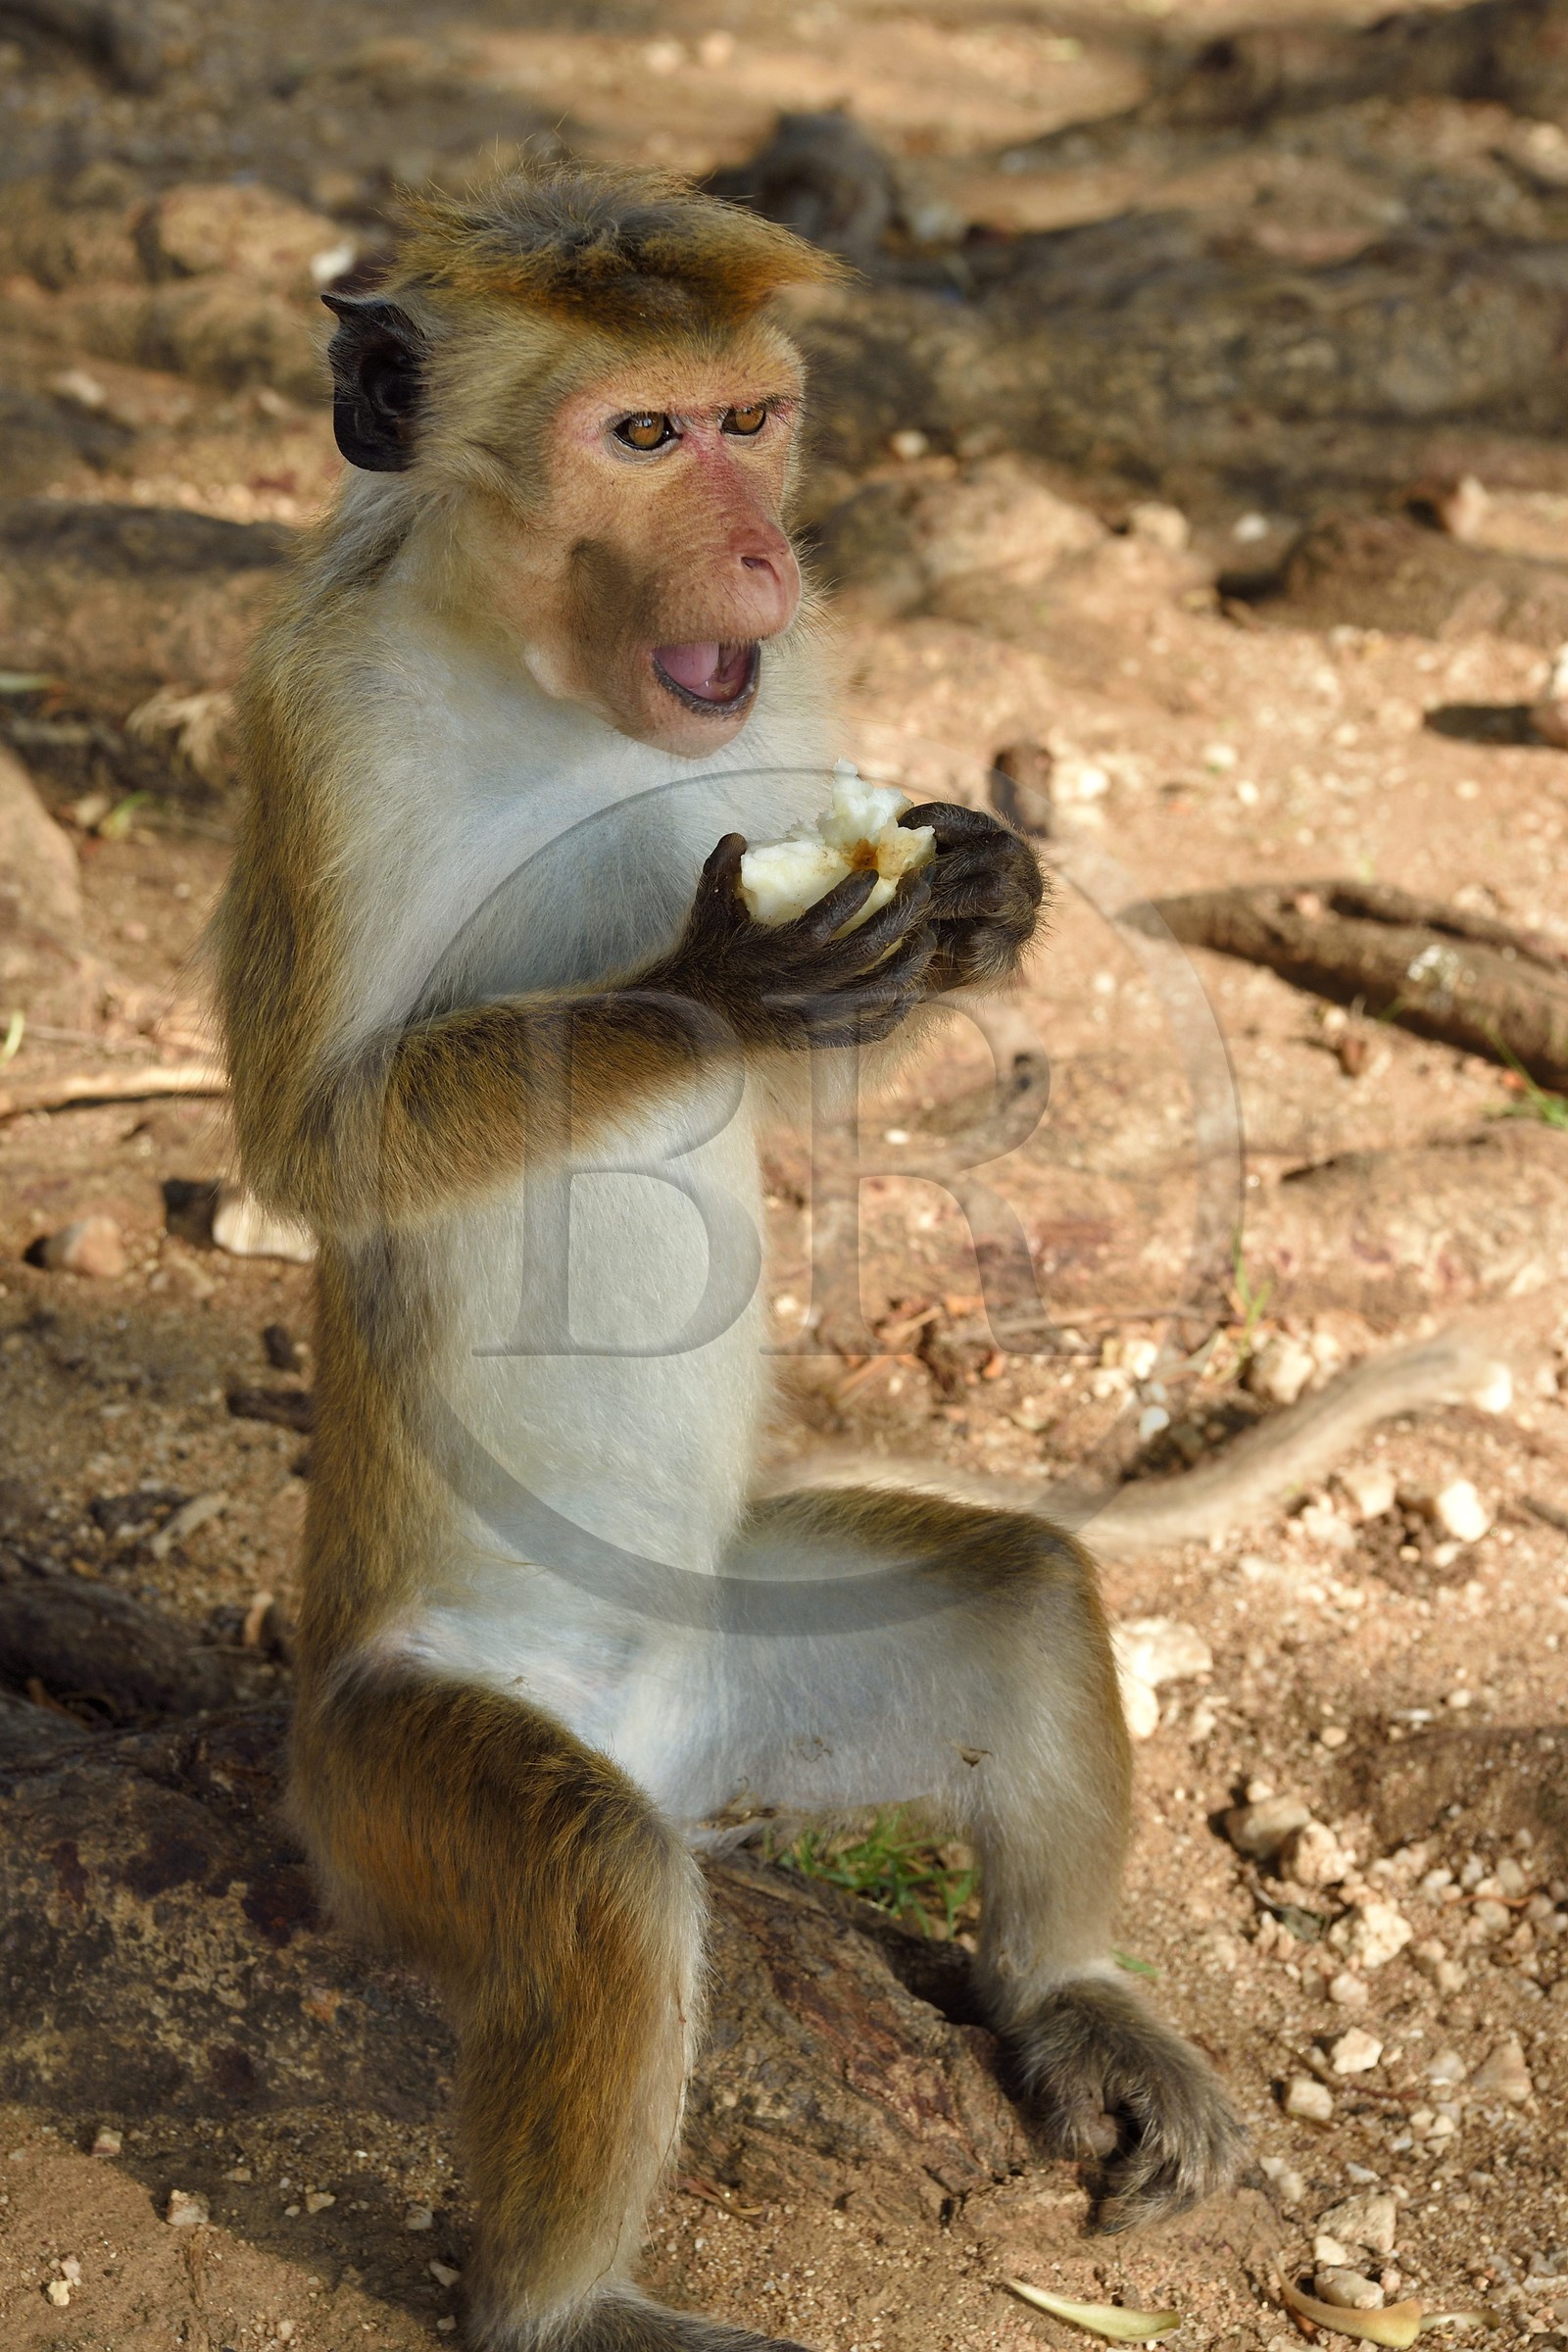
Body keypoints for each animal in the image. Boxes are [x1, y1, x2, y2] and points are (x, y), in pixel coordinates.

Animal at [215, 163, 1243, 2352]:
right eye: (640, 435)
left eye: (749, 423)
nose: (762, 551)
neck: (537, 676)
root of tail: (656, 1732)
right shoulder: (315, 720)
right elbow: (316, 1137)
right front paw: (714, 983)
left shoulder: (815, 672)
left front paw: (985, 897)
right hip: (381, 1784)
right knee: (598, 1876)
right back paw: (569, 2306)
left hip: (747, 1664)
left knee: (1019, 1593)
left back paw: (1074, 1998)